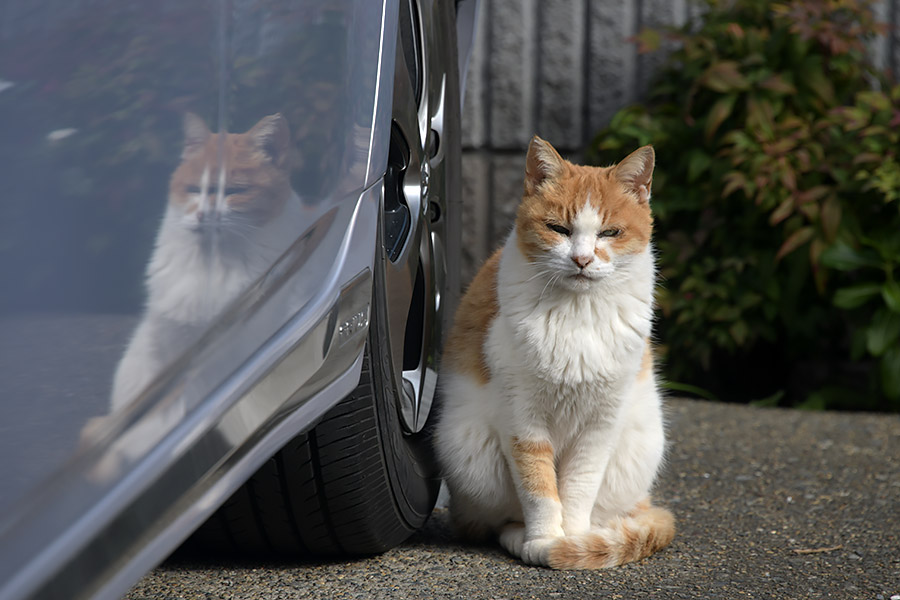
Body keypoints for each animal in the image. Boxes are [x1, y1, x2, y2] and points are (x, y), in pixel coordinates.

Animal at [436, 135, 676, 568]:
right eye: (558, 229)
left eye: (610, 232)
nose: (582, 259)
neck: (577, 315)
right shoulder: (522, 419)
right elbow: (538, 487)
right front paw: (545, 539)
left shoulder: (601, 424)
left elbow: (579, 487)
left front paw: (575, 540)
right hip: (468, 450)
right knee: (496, 521)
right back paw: (520, 538)